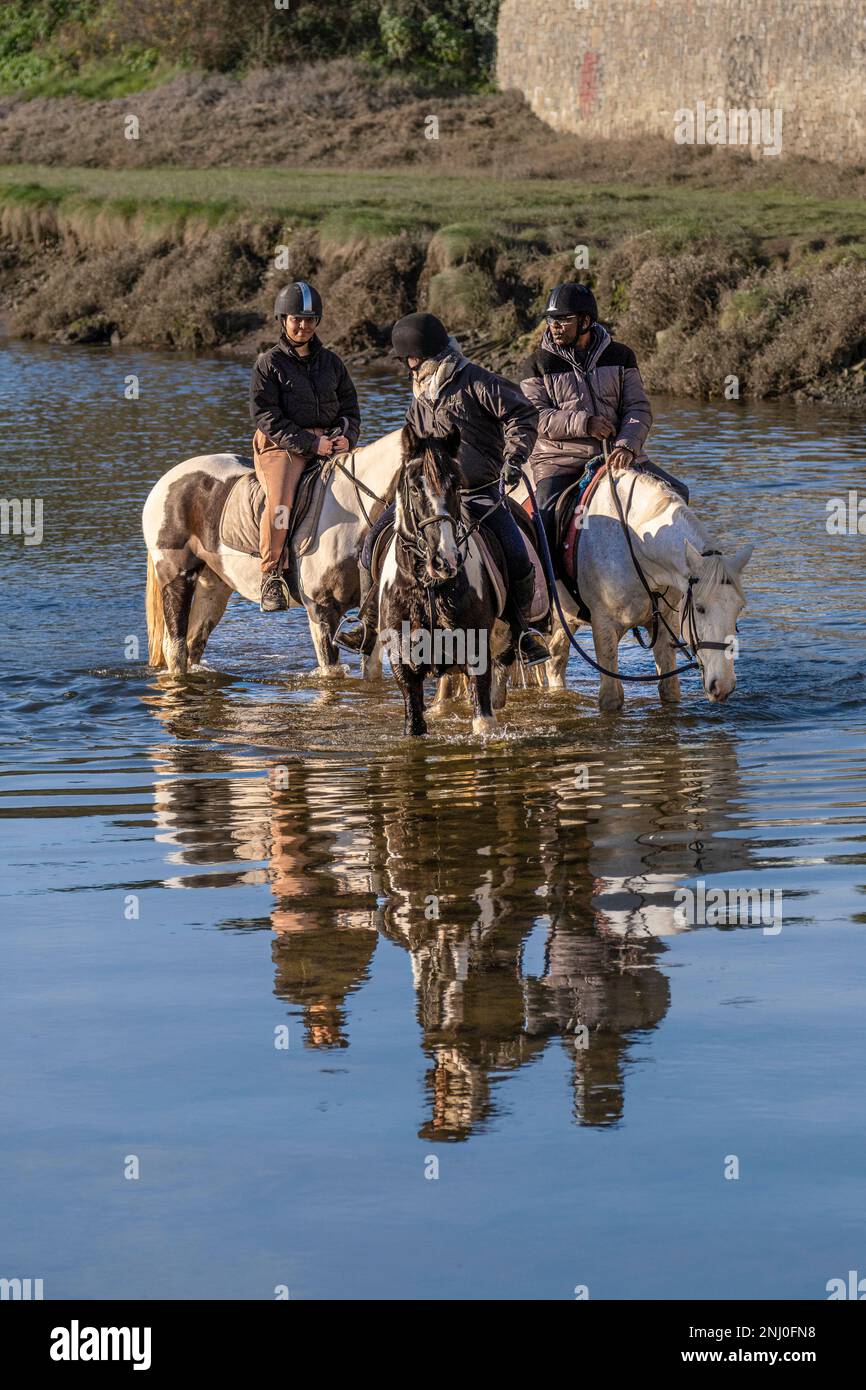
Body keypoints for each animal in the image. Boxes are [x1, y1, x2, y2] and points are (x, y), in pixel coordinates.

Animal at [142, 430, 402, 677]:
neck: (354, 514)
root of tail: (166, 480)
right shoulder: (321, 609)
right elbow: (331, 672)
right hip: (176, 577)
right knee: (175, 649)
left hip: (213, 585)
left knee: (193, 642)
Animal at [378, 424, 511, 736]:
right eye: (415, 488)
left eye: (456, 485)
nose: (446, 559)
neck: (428, 586)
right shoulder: (403, 664)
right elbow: (415, 723)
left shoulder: (477, 653)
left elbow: (483, 720)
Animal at [520, 464, 753, 710]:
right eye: (699, 608)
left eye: (739, 608)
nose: (723, 686)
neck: (637, 541)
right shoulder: (604, 627)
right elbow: (612, 697)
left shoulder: (664, 622)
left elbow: (669, 689)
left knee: (555, 657)